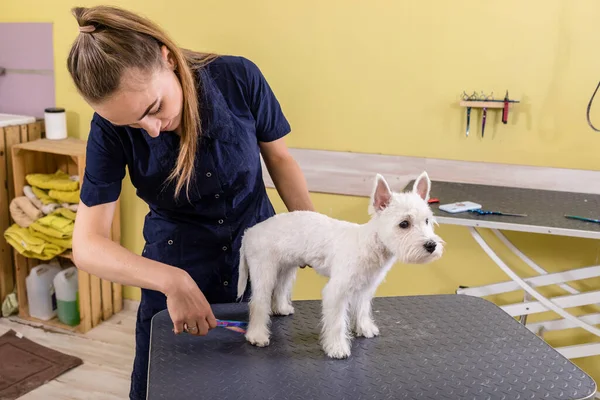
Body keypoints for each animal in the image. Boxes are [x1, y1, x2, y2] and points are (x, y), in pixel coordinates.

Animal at [237, 172, 442, 360]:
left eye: (427, 220)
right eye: (404, 224)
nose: (431, 245)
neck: (370, 243)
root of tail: (249, 232)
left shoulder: (365, 287)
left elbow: (362, 309)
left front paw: (364, 328)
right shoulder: (336, 292)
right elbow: (337, 323)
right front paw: (337, 348)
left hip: (285, 267)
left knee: (280, 288)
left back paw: (281, 308)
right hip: (264, 271)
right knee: (258, 302)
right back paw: (257, 335)